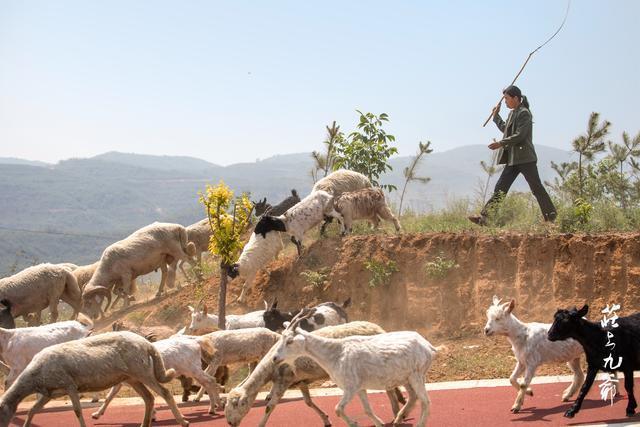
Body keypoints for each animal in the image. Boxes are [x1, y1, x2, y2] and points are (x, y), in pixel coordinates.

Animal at [0, 332, 188, 427]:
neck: (34, 377)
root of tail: (147, 344)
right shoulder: (50, 393)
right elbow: (32, 410)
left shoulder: (69, 385)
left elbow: (77, 410)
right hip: (132, 377)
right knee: (148, 398)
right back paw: (144, 424)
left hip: (142, 371)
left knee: (165, 392)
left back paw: (183, 421)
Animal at [90, 334, 220, 418]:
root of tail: (196, 342)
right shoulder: (122, 383)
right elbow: (109, 397)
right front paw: (97, 414)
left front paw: (153, 415)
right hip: (194, 371)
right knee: (207, 382)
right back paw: (212, 408)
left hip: (193, 369)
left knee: (211, 380)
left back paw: (216, 406)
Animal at [225, 320, 404, 427]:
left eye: (235, 405)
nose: (229, 423)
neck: (271, 364)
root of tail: (378, 328)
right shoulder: (301, 382)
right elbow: (308, 402)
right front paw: (325, 419)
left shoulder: (284, 380)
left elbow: (270, 407)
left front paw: (261, 424)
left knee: (389, 388)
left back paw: (396, 412)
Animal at [270, 310, 440, 427]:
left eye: (290, 341)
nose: (275, 358)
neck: (335, 353)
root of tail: (427, 346)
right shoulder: (360, 388)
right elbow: (367, 410)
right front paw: (379, 423)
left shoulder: (350, 387)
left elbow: (338, 409)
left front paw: (354, 423)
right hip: (406, 377)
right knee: (414, 397)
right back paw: (398, 418)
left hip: (416, 375)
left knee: (426, 401)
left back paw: (417, 423)